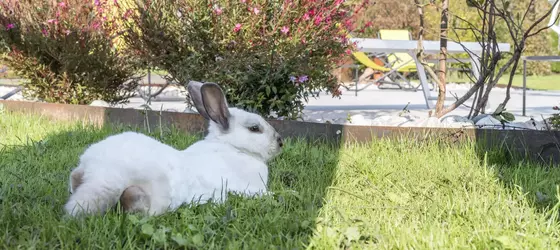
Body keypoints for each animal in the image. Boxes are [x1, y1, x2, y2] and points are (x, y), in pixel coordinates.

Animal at [64, 80, 284, 217]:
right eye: (255, 128)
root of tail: (103, 173)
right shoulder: (251, 189)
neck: (232, 147)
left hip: (83, 172)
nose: (280, 142)